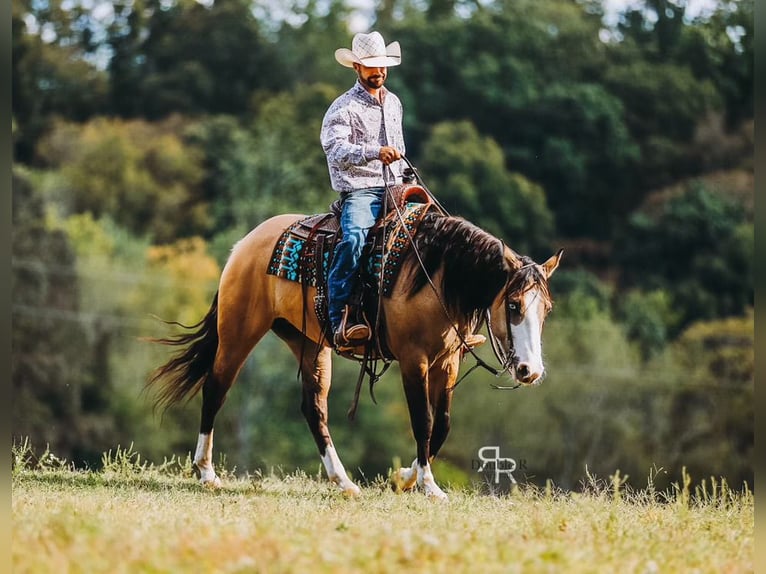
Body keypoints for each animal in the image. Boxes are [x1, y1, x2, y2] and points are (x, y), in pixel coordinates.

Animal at [147, 205, 561, 500]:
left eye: (546, 309)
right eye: (513, 305)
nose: (530, 371)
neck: (435, 275)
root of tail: (245, 244)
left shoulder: (447, 362)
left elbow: (442, 424)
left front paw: (404, 478)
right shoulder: (414, 360)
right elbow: (423, 421)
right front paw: (428, 486)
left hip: (309, 345)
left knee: (314, 408)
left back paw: (343, 481)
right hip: (238, 332)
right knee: (215, 389)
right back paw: (206, 472)